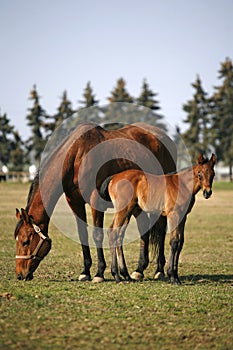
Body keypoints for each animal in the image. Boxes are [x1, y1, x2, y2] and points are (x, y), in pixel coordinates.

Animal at [14, 121, 177, 280]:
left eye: (25, 241)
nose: (20, 275)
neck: (77, 156)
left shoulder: (95, 201)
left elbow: (97, 235)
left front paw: (99, 273)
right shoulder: (75, 202)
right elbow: (82, 234)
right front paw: (85, 271)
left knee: (161, 229)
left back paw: (159, 270)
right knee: (143, 227)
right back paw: (139, 270)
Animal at [104, 154, 217, 284]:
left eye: (213, 174)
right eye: (199, 174)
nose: (207, 193)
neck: (182, 185)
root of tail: (113, 178)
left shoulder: (183, 217)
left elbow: (180, 242)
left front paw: (176, 276)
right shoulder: (173, 215)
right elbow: (174, 241)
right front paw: (172, 276)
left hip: (128, 212)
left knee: (118, 236)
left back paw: (126, 275)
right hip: (123, 211)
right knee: (113, 233)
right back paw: (117, 276)